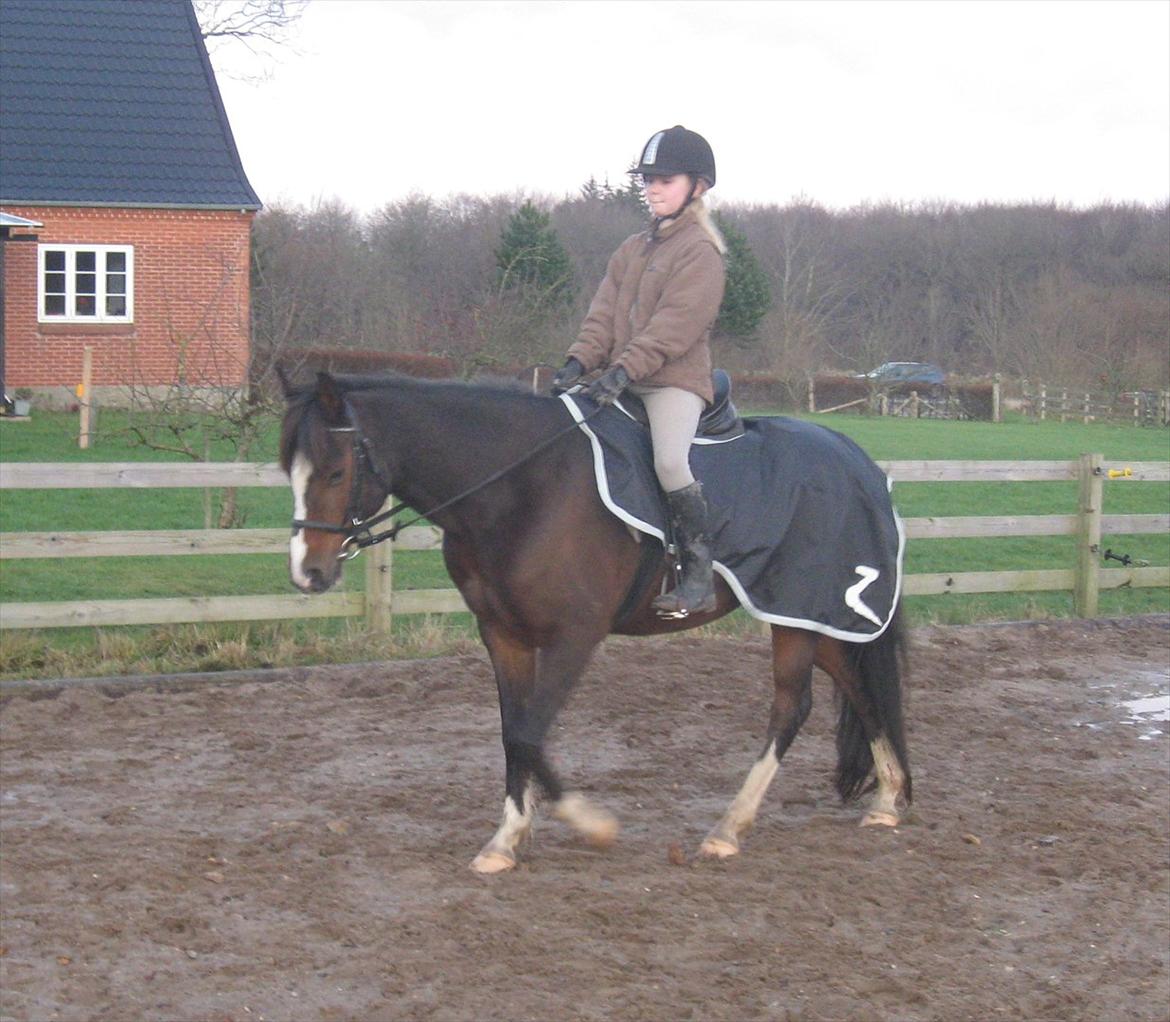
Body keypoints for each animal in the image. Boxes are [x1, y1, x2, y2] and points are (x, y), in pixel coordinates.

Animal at [278, 369, 907, 869]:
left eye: (334, 472)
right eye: (290, 469)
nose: (308, 572)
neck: (522, 487)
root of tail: (856, 460)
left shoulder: (575, 635)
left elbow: (530, 732)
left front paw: (590, 823)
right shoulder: (502, 634)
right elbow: (513, 731)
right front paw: (507, 839)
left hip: (797, 613)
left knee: (790, 706)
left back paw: (729, 828)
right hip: (809, 613)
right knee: (859, 686)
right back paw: (886, 799)